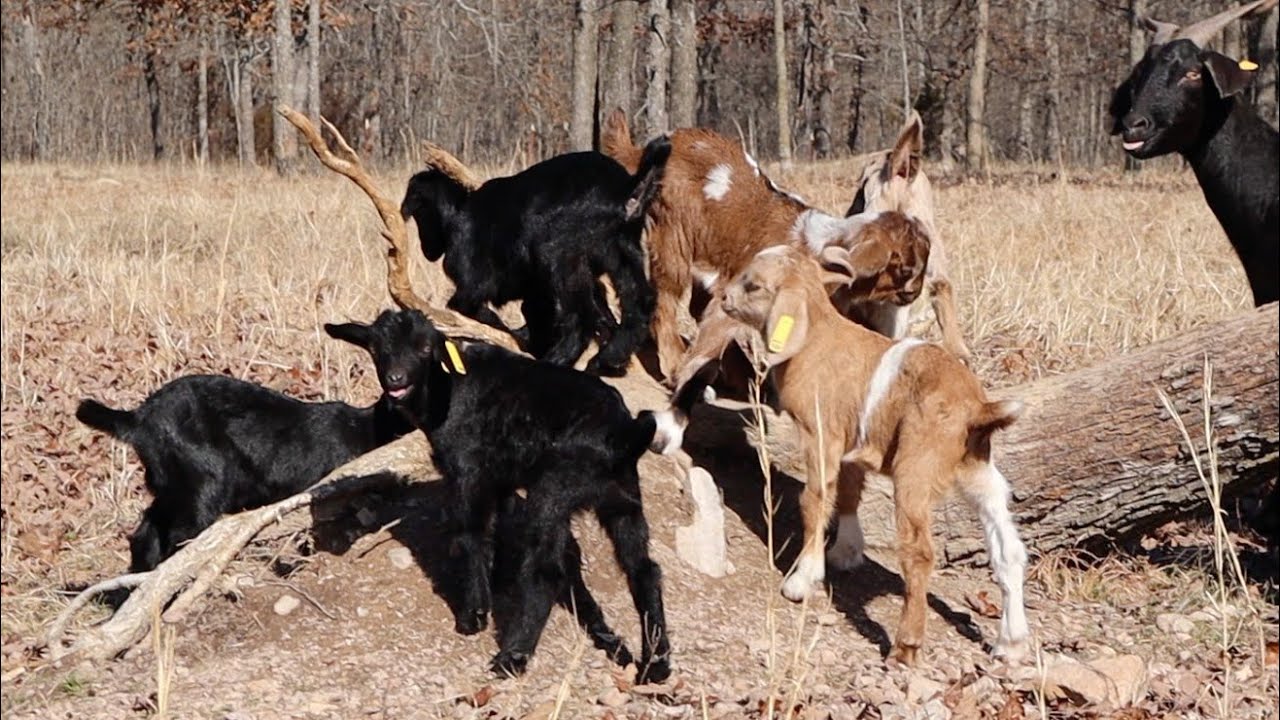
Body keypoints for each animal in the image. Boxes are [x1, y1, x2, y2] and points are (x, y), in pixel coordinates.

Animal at [75, 362, 413, 573]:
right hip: (203, 485)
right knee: (179, 539)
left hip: (173, 486)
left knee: (147, 530)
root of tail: (140, 416)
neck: (371, 427)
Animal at [326, 309, 682, 682]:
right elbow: (492, 532)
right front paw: (491, 586)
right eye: (376, 348)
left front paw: (474, 615)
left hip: (554, 490)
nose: (395, 379)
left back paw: (512, 657)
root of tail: (625, 435)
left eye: (425, 348)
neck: (446, 387)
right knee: (643, 570)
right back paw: (656, 664)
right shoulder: (499, 479)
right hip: (623, 498)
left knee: (546, 572)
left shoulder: (469, 470)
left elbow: (471, 535)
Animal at [400, 138, 671, 377]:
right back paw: (608, 359)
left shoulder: (471, 288)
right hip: (623, 250)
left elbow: (476, 313)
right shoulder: (538, 291)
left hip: (560, 253)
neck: (459, 213)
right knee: (638, 302)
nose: (428, 251)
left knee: (581, 316)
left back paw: (558, 360)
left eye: (419, 213)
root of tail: (624, 191)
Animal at [601, 110, 932, 381]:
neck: (817, 245)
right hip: (674, 235)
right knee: (666, 298)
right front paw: (685, 375)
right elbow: (715, 329)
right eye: (906, 269)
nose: (916, 292)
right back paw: (672, 359)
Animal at [657, 247, 1030, 666]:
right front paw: (846, 553)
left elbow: (815, 499)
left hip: (917, 467)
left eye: (753, 284)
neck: (815, 338)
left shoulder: (821, 434)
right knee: (1010, 551)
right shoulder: (853, 441)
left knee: (919, 552)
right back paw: (1011, 643)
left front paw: (803, 579)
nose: (723, 299)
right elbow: (849, 491)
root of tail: (977, 410)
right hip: (978, 471)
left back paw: (906, 646)